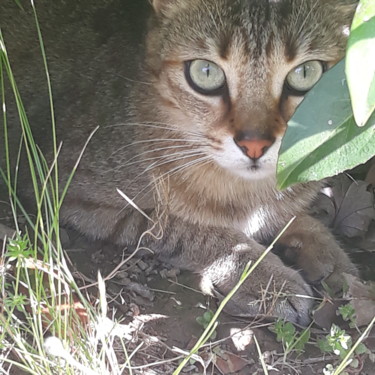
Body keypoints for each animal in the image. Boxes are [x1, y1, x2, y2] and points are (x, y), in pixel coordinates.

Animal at [0, 0, 358, 326]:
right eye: (205, 72)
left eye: (305, 73)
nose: (254, 144)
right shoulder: (65, 188)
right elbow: (201, 232)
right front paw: (269, 279)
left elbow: (296, 220)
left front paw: (334, 261)